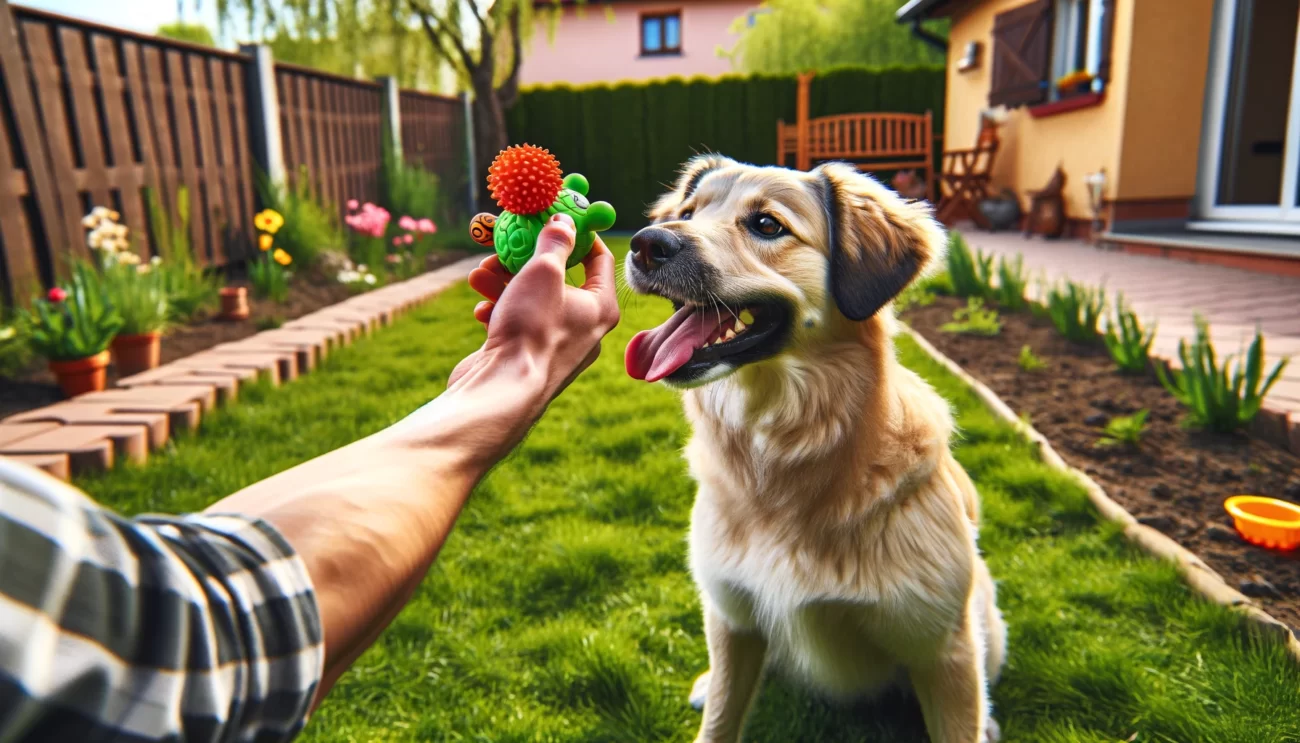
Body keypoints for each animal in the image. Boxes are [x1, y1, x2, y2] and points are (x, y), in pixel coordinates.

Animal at [624, 155, 1008, 743]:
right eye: (687, 213)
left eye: (766, 224)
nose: (645, 244)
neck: (783, 446)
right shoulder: (733, 618)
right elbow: (720, 720)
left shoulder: (943, 647)